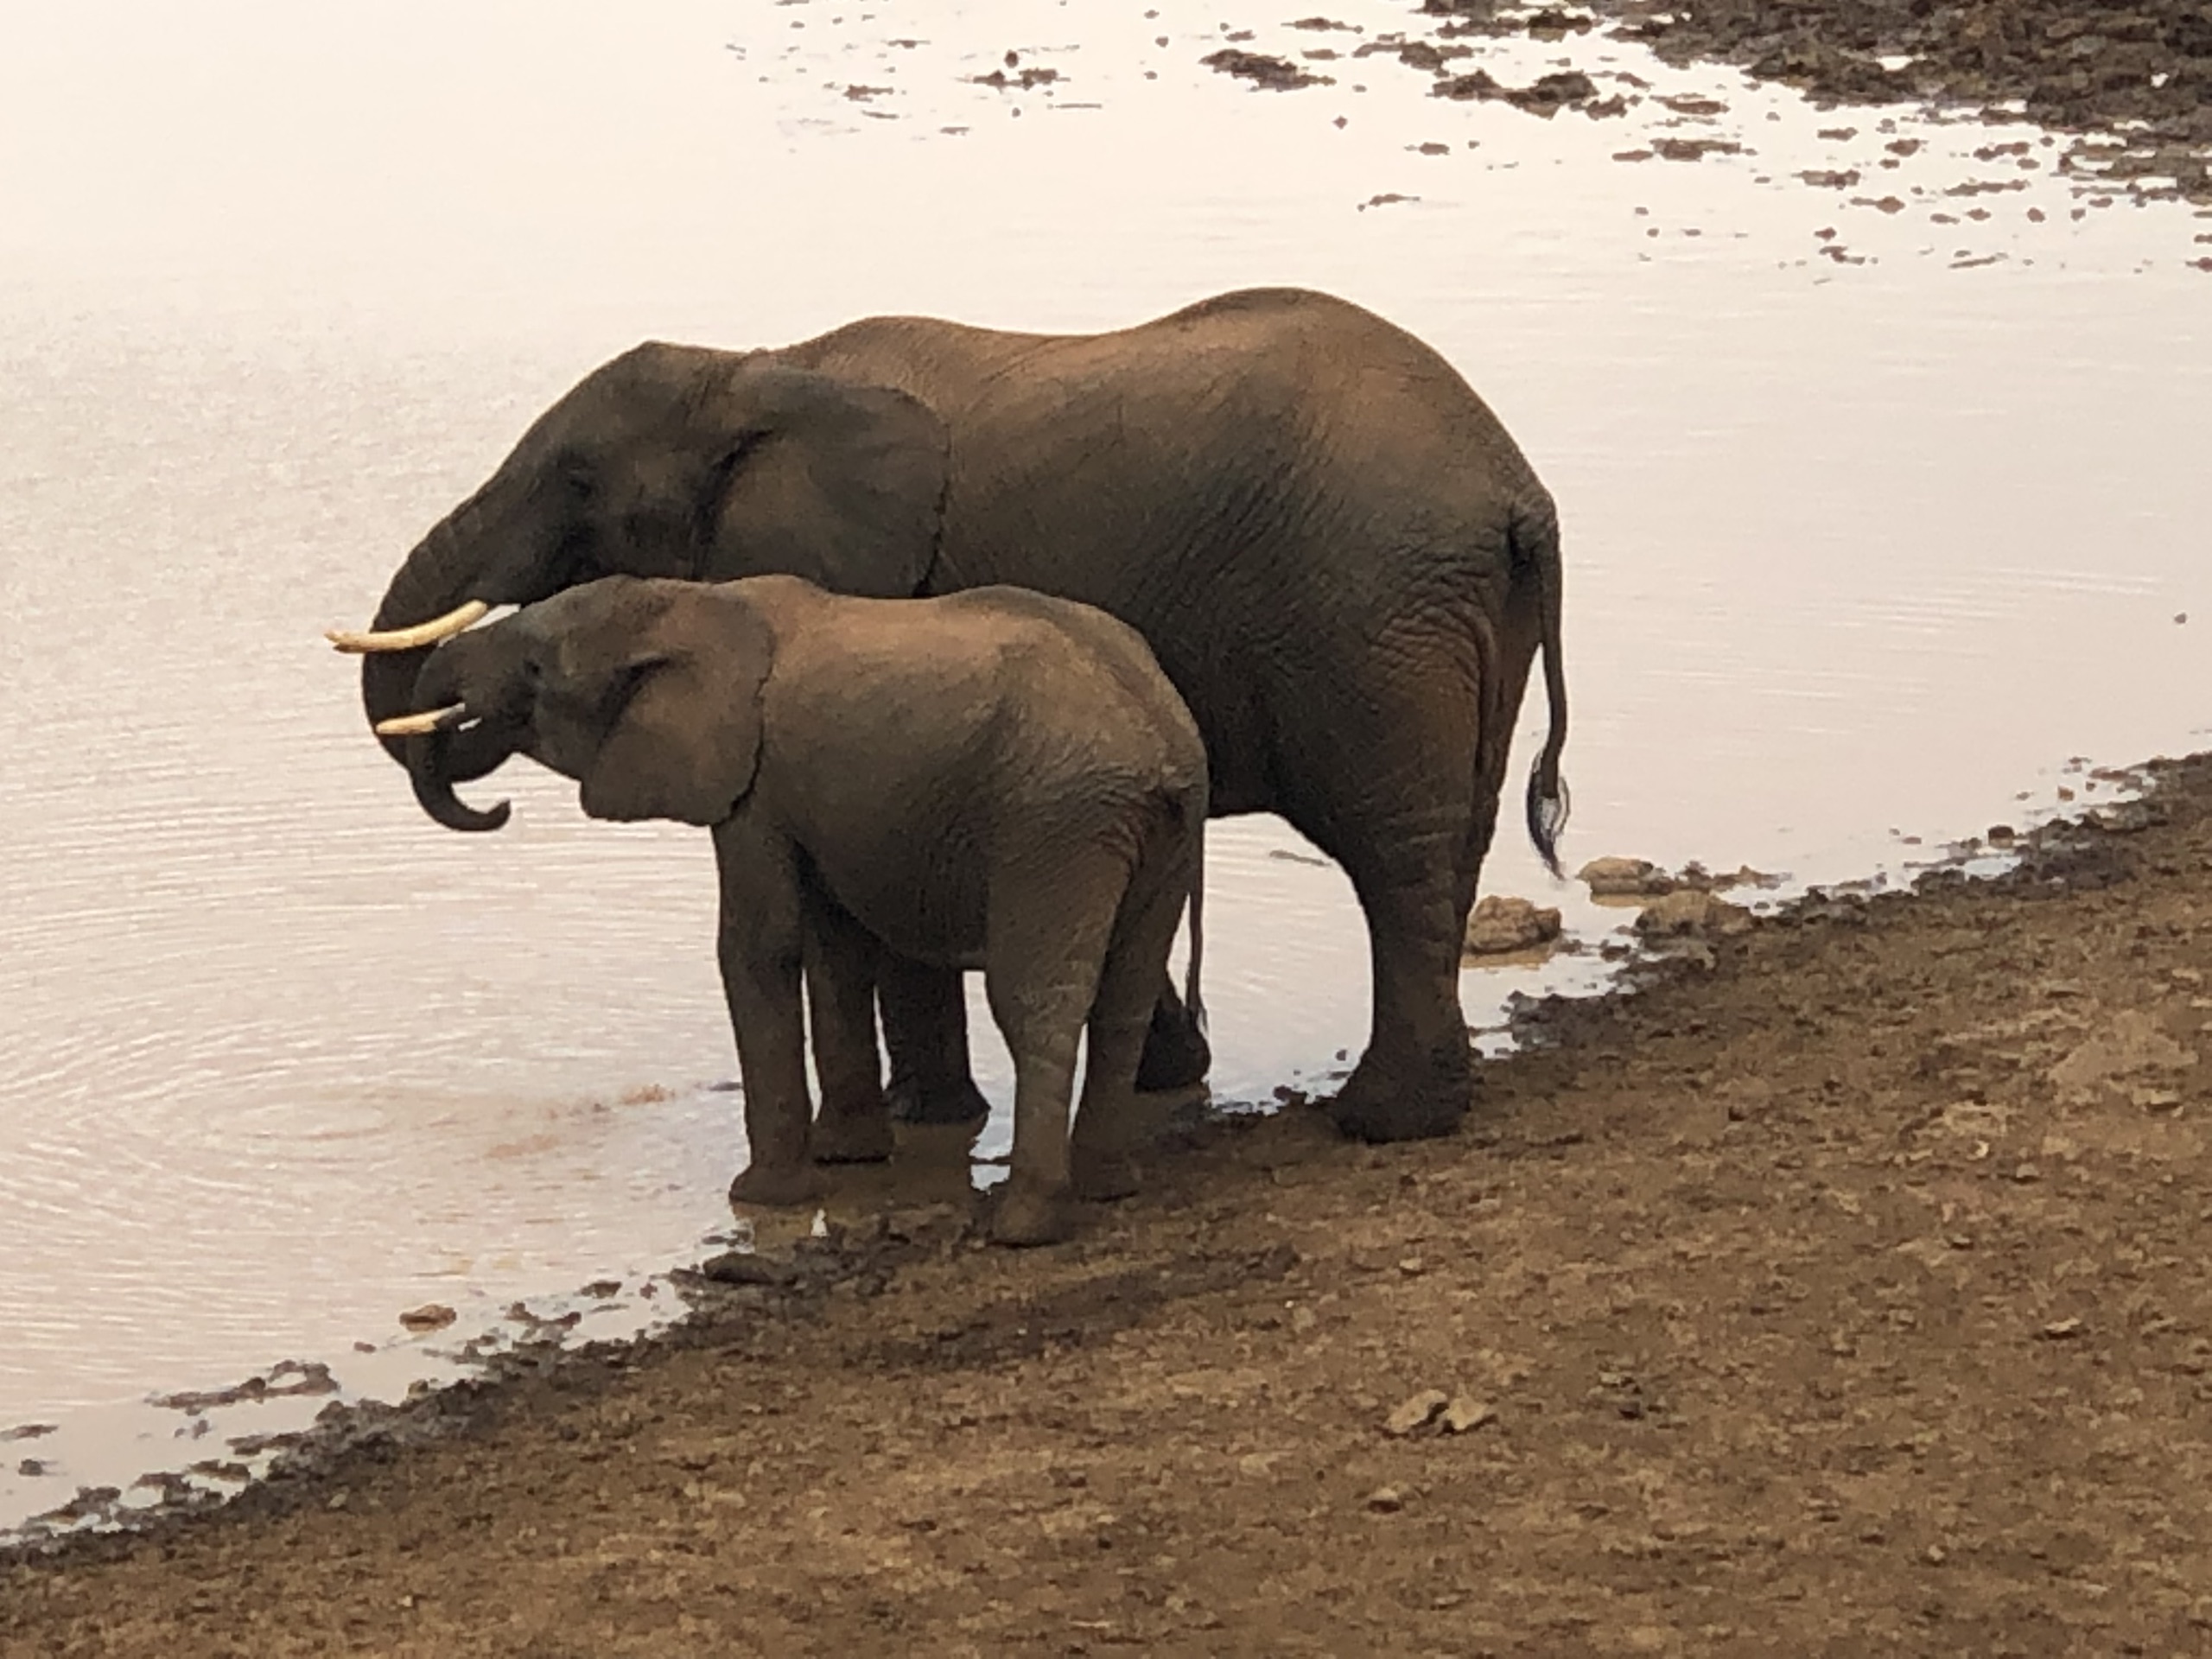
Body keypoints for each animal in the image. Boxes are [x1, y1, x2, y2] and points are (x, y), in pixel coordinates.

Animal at [332, 285, 1574, 1150]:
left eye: (580, 484)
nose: (478, 781)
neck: (760, 370)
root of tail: (1518, 494)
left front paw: (924, 1123)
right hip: (1453, 618)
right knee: (1454, 834)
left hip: (1371, 617)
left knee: (1394, 849)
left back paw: (1386, 1121)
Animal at [380, 575, 1211, 1247]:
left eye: (535, 672)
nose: (499, 807)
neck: (682, 601)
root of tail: (1159, 732)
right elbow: (831, 944)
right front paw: (847, 1155)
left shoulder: (752, 784)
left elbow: (759, 945)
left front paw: (763, 1195)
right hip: (1154, 835)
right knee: (1124, 995)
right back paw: (1108, 1187)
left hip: (1053, 825)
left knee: (1036, 1000)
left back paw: (1024, 1226)